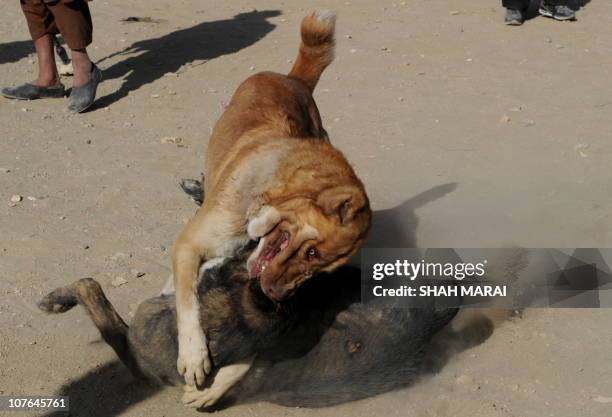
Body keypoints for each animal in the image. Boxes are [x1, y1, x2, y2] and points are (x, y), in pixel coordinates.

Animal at [173, 10, 372, 386]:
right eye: (311, 253)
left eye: (323, 270)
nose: (276, 297)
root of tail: (290, 79)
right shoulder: (187, 246)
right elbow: (187, 302)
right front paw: (193, 354)